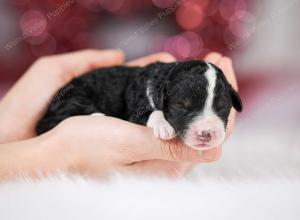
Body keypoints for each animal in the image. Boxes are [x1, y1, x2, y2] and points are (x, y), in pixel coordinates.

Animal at [36, 60, 243, 150]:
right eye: (182, 106)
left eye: (222, 106)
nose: (206, 133)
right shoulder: (134, 109)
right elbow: (151, 113)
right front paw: (164, 125)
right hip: (71, 98)